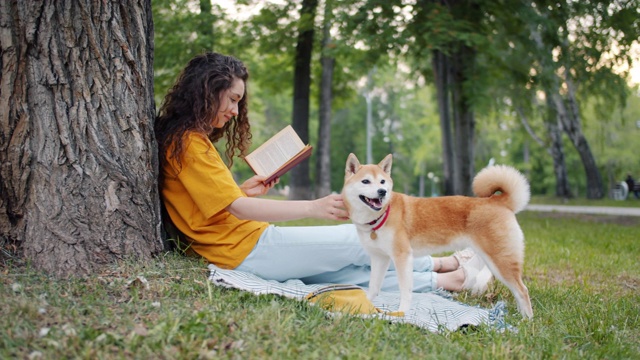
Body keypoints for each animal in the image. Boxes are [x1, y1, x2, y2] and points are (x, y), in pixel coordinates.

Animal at [342, 153, 532, 318]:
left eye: (382, 181)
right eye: (366, 181)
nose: (382, 191)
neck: (380, 216)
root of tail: (497, 201)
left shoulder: (402, 257)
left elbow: (405, 290)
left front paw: (401, 312)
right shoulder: (379, 258)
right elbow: (373, 286)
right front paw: (363, 304)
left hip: (501, 260)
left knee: (522, 290)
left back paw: (526, 321)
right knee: (517, 291)